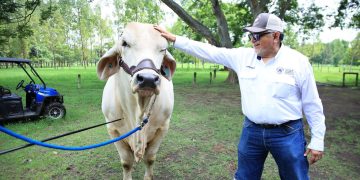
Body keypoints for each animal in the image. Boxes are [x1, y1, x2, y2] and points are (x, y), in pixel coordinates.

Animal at [96, 22, 176, 180]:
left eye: (163, 49)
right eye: (125, 43)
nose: (148, 79)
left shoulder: (163, 127)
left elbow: (150, 158)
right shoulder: (113, 130)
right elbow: (126, 162)